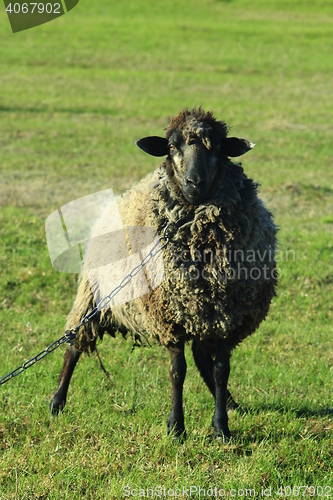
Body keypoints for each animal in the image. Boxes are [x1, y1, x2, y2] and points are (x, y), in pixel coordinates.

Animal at [50, 107, 278, 440]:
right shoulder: (168, 317)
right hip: (92, 297)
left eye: (217, 147)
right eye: (171, 146)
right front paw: (176, 426)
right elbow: (177, 371)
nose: (194, 181)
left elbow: (221, 369)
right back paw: (57, 402)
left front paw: (221, 427)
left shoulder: (227, 315)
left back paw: (229, 402)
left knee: (202, 358)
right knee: (73, 345)